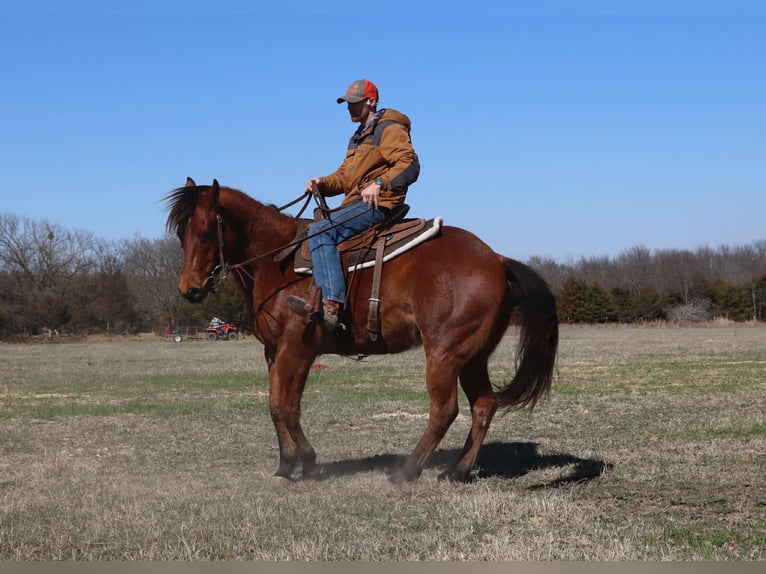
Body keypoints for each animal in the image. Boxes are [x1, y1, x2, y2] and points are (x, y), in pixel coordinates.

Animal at [166, 178, 559, 483]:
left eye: (206, 232)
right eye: (182, 235)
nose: (189, 289)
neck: (278, 263)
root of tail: (496, 259)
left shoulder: (297, 350)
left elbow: (288, 407)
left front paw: (308, 463)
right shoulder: (272, 352)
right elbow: (275, 407)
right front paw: (285, 465)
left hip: (445, 353)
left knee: (444, 409)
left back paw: (407, 471)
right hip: (473, 357)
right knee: (483, 406)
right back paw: (457, 471)